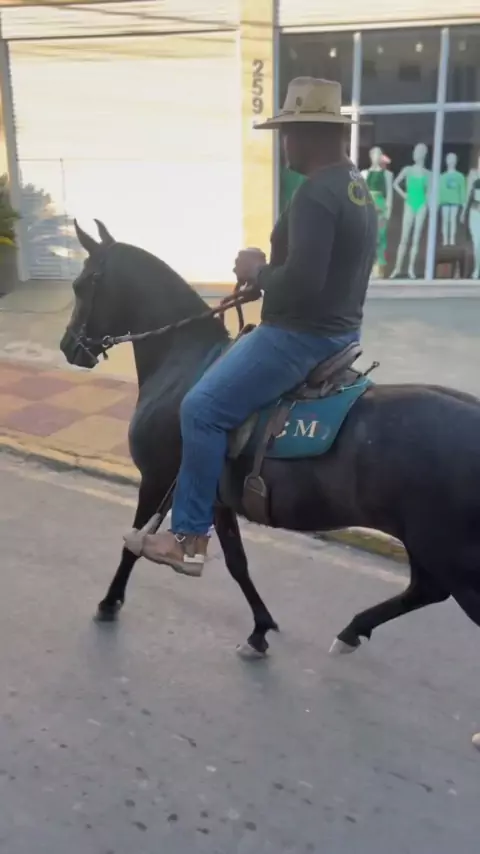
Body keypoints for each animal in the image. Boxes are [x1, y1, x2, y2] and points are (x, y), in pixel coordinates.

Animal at [60, 219, 480, 661]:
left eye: (81, 285)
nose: (69, 346)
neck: (184, 360)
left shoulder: (158, 480)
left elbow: (133, 544)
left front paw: (109, 602)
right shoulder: (215, 497)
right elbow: (236, 562)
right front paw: (260, 628)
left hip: (450, 553)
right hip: (429, 544)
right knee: (425, 589)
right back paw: (352, 630)